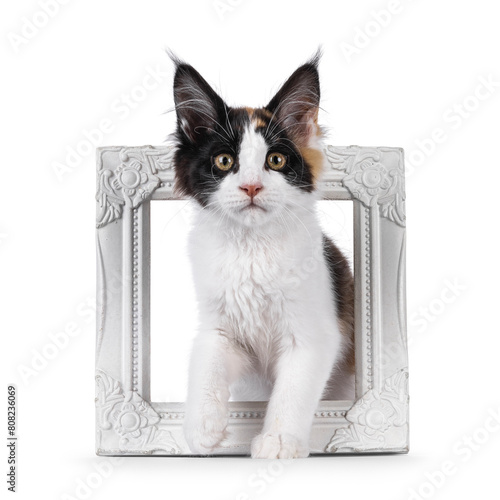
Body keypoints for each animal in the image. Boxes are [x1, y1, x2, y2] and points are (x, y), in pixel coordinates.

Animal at [170, 52, 354, 458]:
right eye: (224, 161)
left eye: (276, 161)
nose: (251, 186)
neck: (251, 249)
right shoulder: (221, 328)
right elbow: (205, 362)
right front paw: (201, 425)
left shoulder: (313, 335)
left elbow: (291, 393)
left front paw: (279, 440)